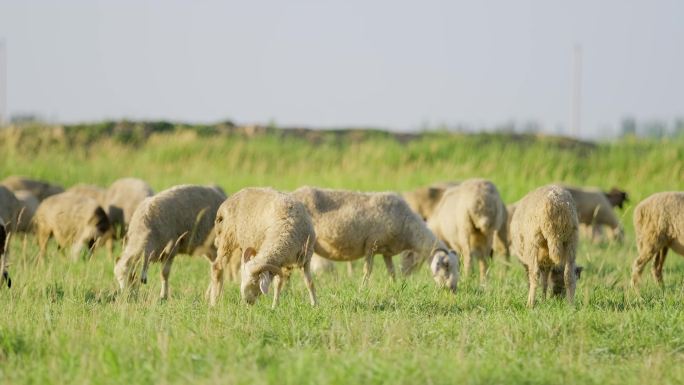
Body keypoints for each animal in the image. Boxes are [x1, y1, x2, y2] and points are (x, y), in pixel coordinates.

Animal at [290, 186, 460, 292]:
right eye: (446, 265)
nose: (453, 289)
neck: (408, 228)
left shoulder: (387, 251)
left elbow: (391, 271)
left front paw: (394, 287)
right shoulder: (371, 245)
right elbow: (368, 270)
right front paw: (362, 289)